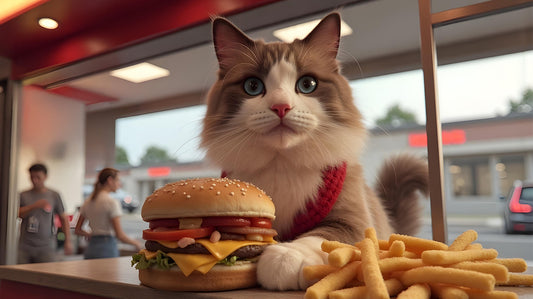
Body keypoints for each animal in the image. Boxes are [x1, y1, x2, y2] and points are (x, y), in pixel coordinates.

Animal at [200, 12, 428, 292]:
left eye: (307, 84)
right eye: (252, 86)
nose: (281, 107)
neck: (281, 164)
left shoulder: (353, 222)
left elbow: (321, 237)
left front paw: (284, 259)